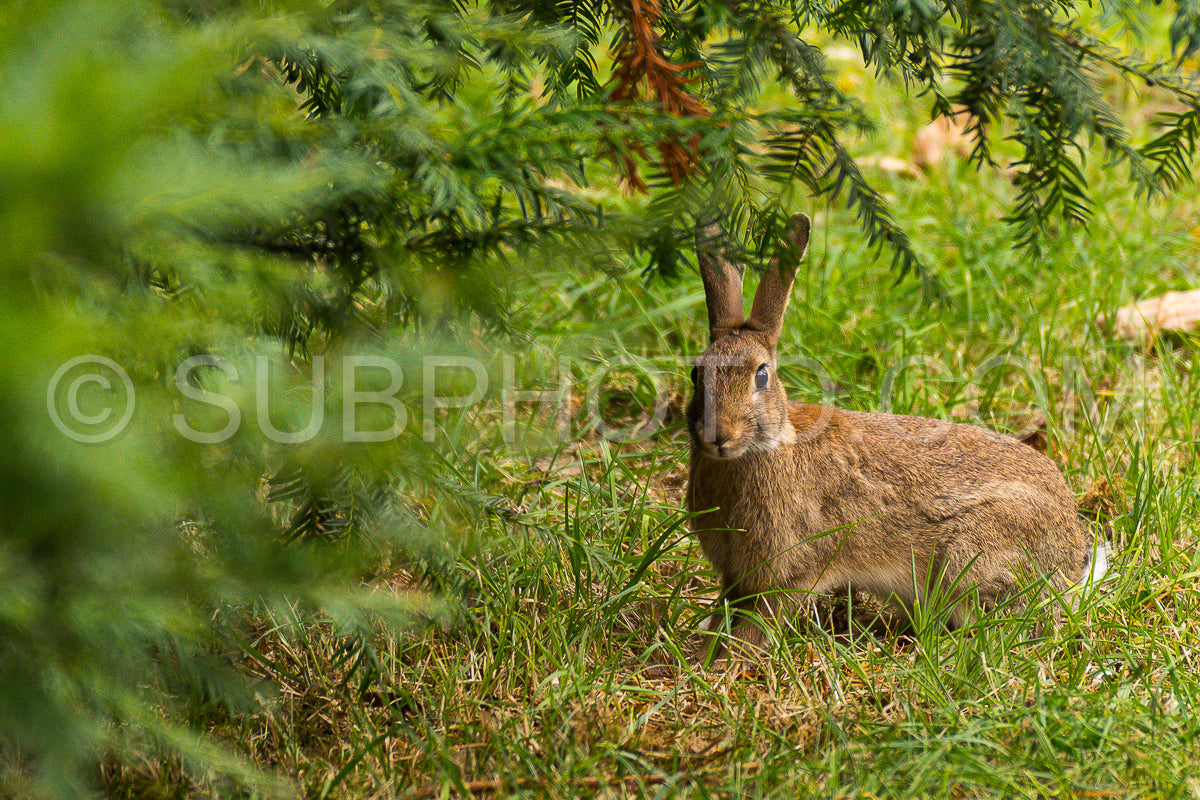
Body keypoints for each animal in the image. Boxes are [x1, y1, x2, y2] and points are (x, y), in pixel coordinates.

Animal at [686, 212, 1100, 657]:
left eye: (761, 375)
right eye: (695, 373)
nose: (718, 435)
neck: (767, 446)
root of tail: (1074, 555)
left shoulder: (789, 570)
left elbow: (757, 624)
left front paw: (724, 661)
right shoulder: (736, 576)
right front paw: (706, 651)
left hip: (972, 557)